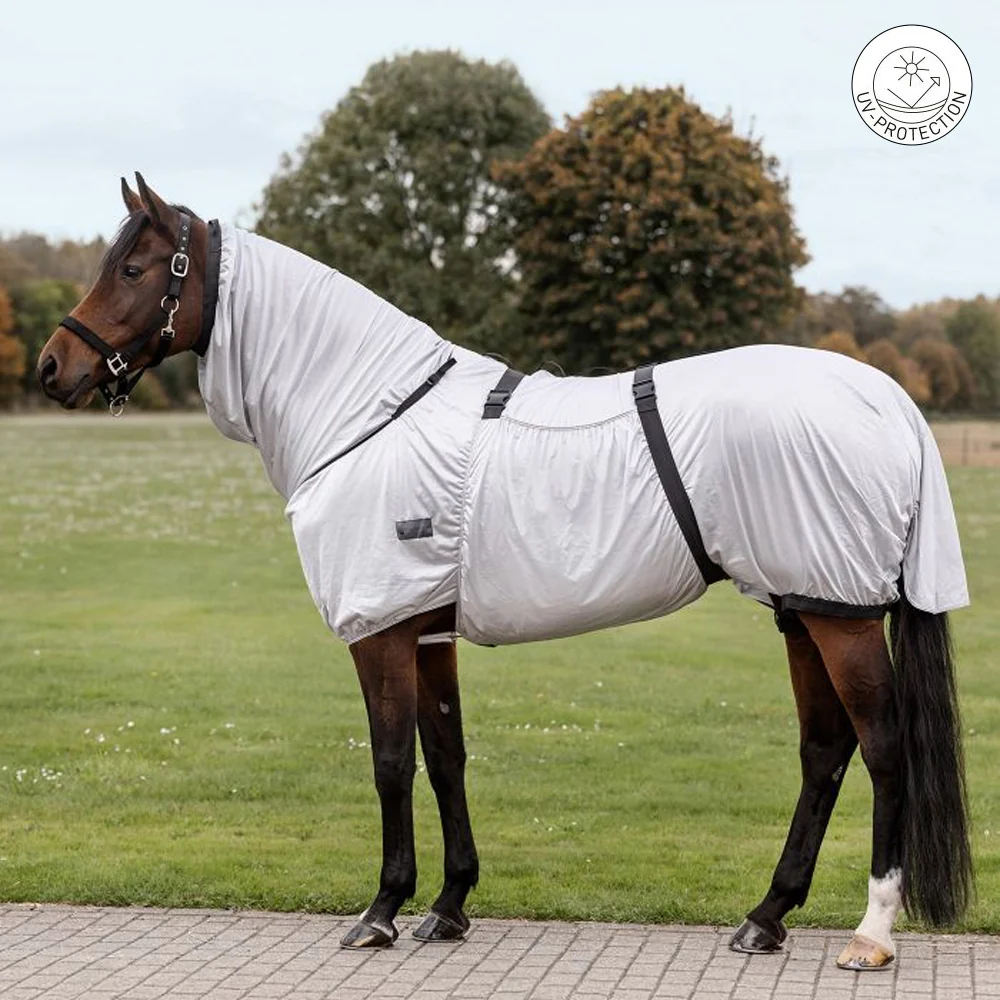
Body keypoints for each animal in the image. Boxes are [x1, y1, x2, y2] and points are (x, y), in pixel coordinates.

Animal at [37, 175, 972, 970]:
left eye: (132, 268)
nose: (52, 368)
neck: (369, 411)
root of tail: (887, 397)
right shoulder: (426, 629)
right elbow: (446, 753)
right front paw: (448, 907)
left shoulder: (379, 631)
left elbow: (390, 761)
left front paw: (380, 911)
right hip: (802, 604)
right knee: (825, 749)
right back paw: (765, 917)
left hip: (840, 615)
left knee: (884, 748)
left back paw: (870, 933)